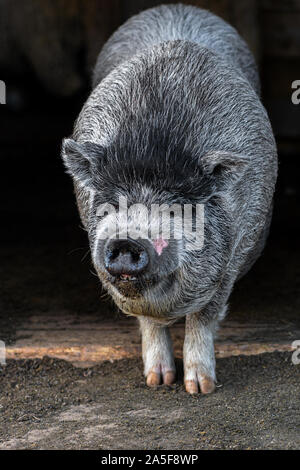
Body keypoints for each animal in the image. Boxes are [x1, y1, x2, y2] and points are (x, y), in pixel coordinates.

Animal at [61, 4, 276, 392]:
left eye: (177, 209)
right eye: (111, 203)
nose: (128, 240)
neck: (153, 148)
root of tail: (178, 7)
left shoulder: (233, 257)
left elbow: (204, 316)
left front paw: (200, 388)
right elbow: (148, 321)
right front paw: (157, 382)